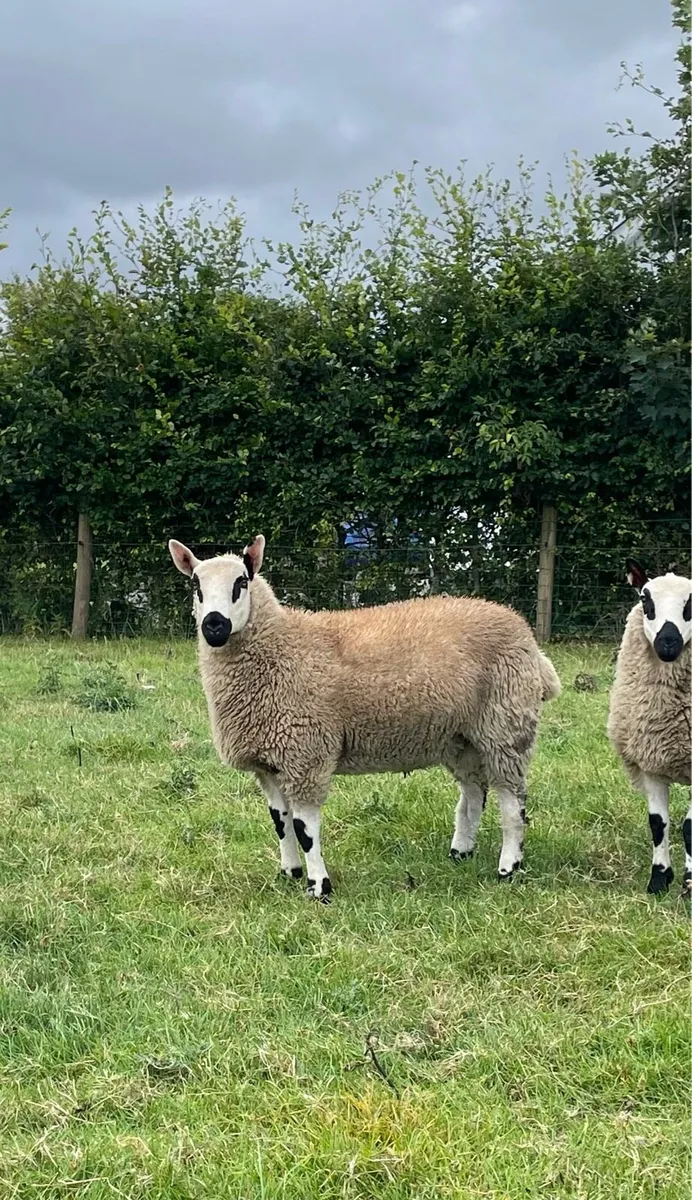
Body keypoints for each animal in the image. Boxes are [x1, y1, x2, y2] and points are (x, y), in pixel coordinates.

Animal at [169, 534, 562, 900]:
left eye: (242, 582)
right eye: (195, 586)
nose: (214, 626)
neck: (281, 647)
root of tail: (525, 634)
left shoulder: (306, 755)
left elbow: (304, 829)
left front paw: (319, 886)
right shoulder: (269, 764)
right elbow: (280, 823)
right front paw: (289, 872)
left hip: (506, 725)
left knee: (512, 803)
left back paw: (508, 867)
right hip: (462, 737)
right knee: (473, 792)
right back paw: (460, 852)